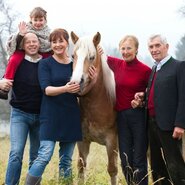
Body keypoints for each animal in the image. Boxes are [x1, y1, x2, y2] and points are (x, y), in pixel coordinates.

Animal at [70, 31, 118, 184]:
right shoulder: (83, 141)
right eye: (73, 56)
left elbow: (112, 170)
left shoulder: (111, 141)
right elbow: (81, 167)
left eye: (91, 57)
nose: (76, 82)